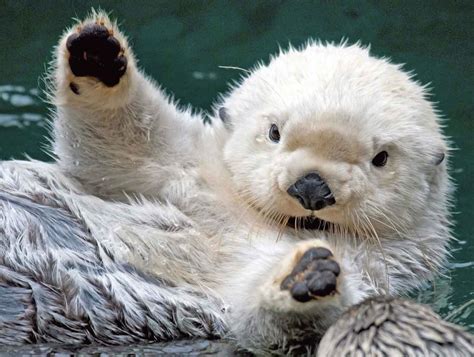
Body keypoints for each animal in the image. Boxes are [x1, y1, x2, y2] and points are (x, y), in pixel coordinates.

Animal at [0, 9, 452, 352]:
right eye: (274, 132)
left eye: (381, 158)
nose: (311, 187)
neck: (259, 221)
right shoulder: (190, 170)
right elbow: (121, 147)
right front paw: (97, 55)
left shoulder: (376, 271)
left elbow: (261, 317)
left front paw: (305, 276)